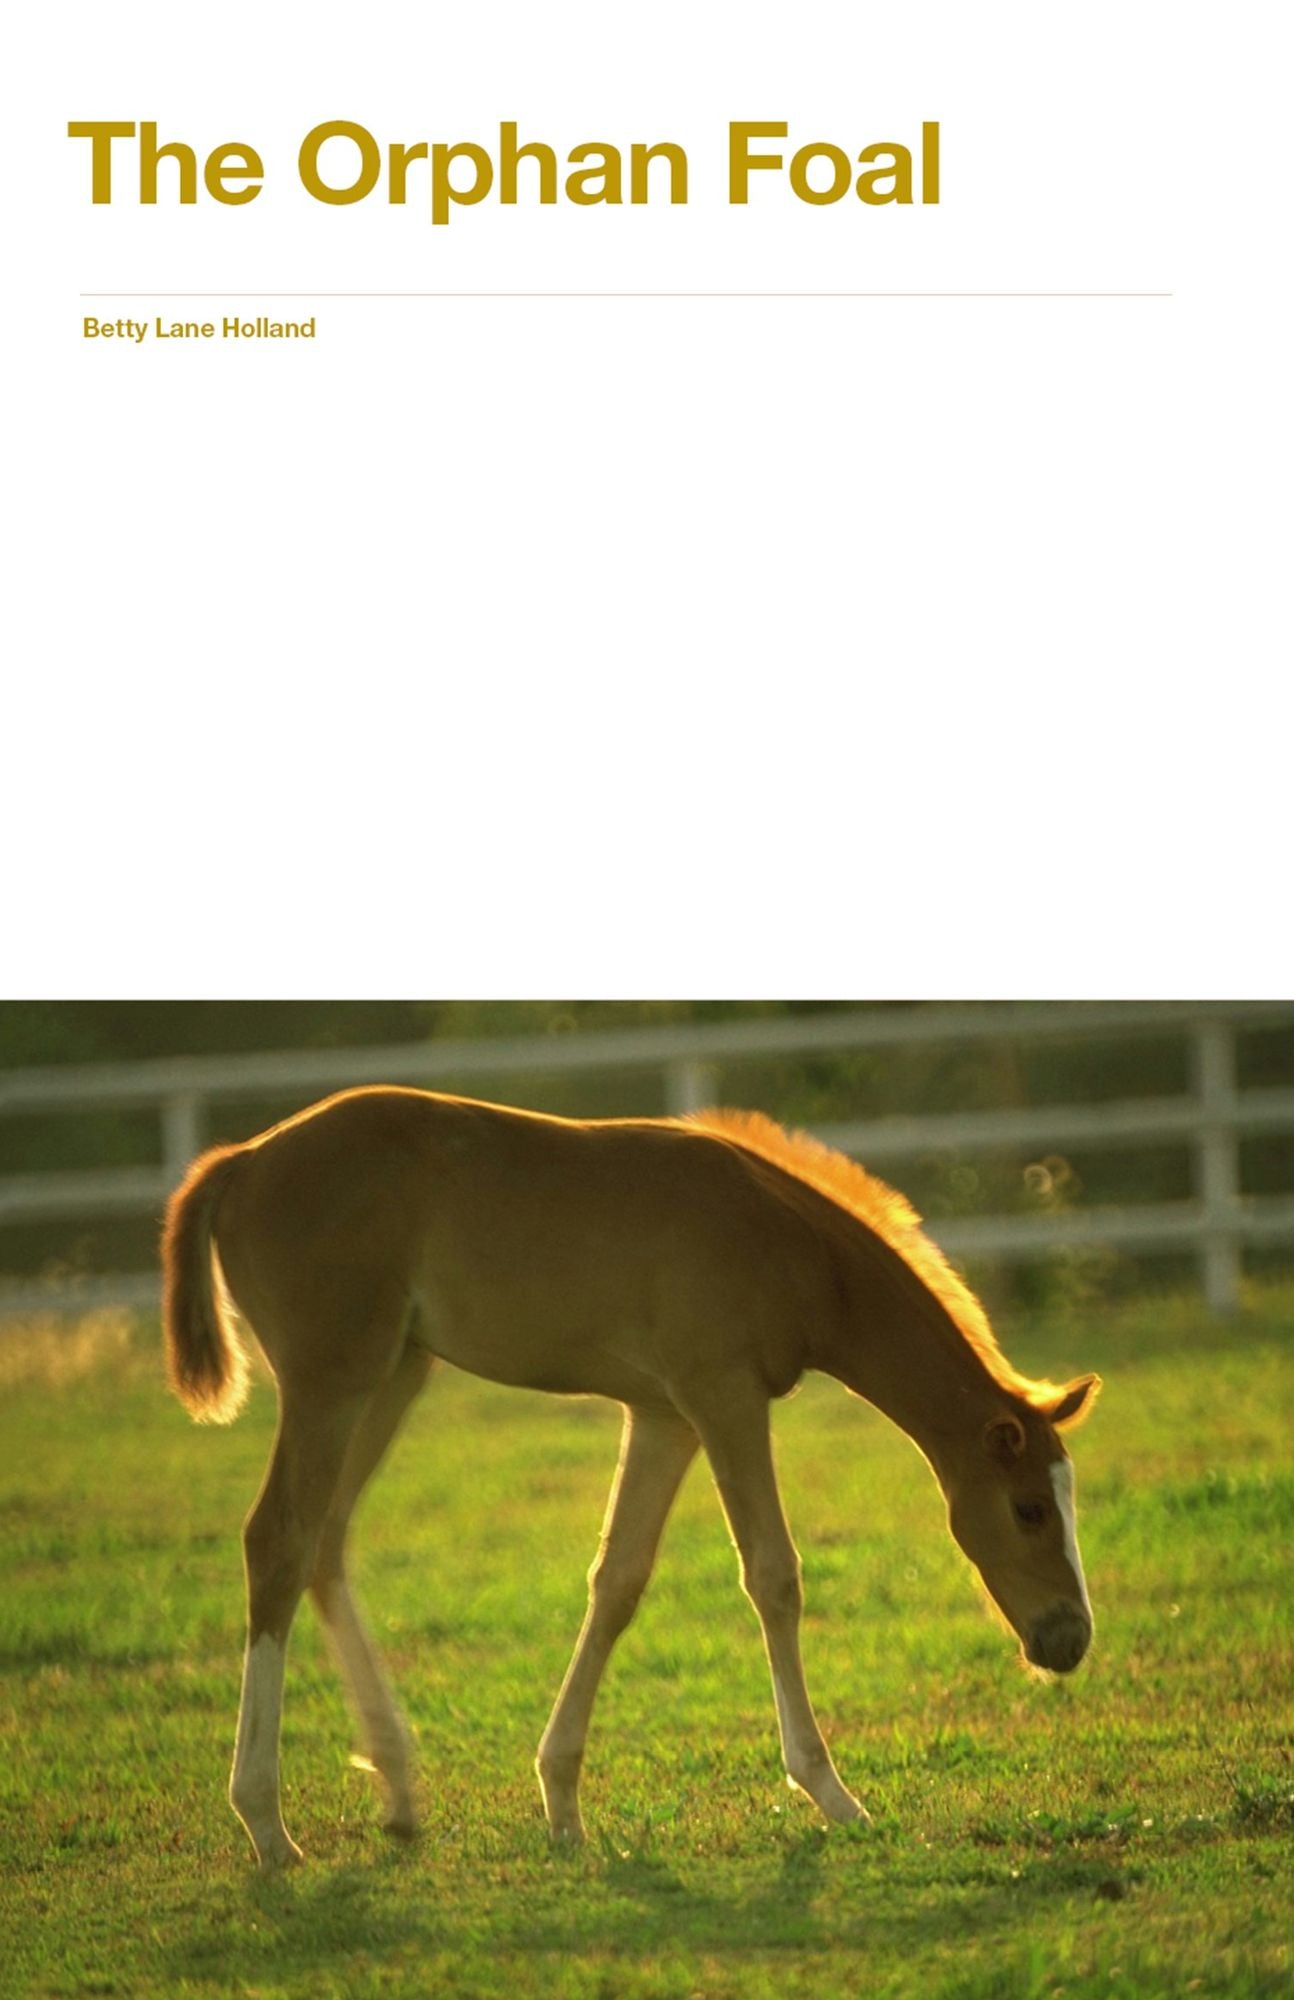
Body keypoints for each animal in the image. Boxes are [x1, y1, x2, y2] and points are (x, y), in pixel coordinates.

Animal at [160, 1086, 1100, 1870]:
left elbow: (617, 1581)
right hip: (332, 1380)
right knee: (278, 1539)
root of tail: (242, 1160)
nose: (1069, 1639)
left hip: (394, 1372)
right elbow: (774, 1576)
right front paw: (830, 1792)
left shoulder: (662, 1415)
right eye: (1027, 1509)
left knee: (326, 1542)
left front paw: (562, 1802)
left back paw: (395, 1790)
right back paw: (266, 1823)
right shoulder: (723, 1396)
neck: (786, 1240)